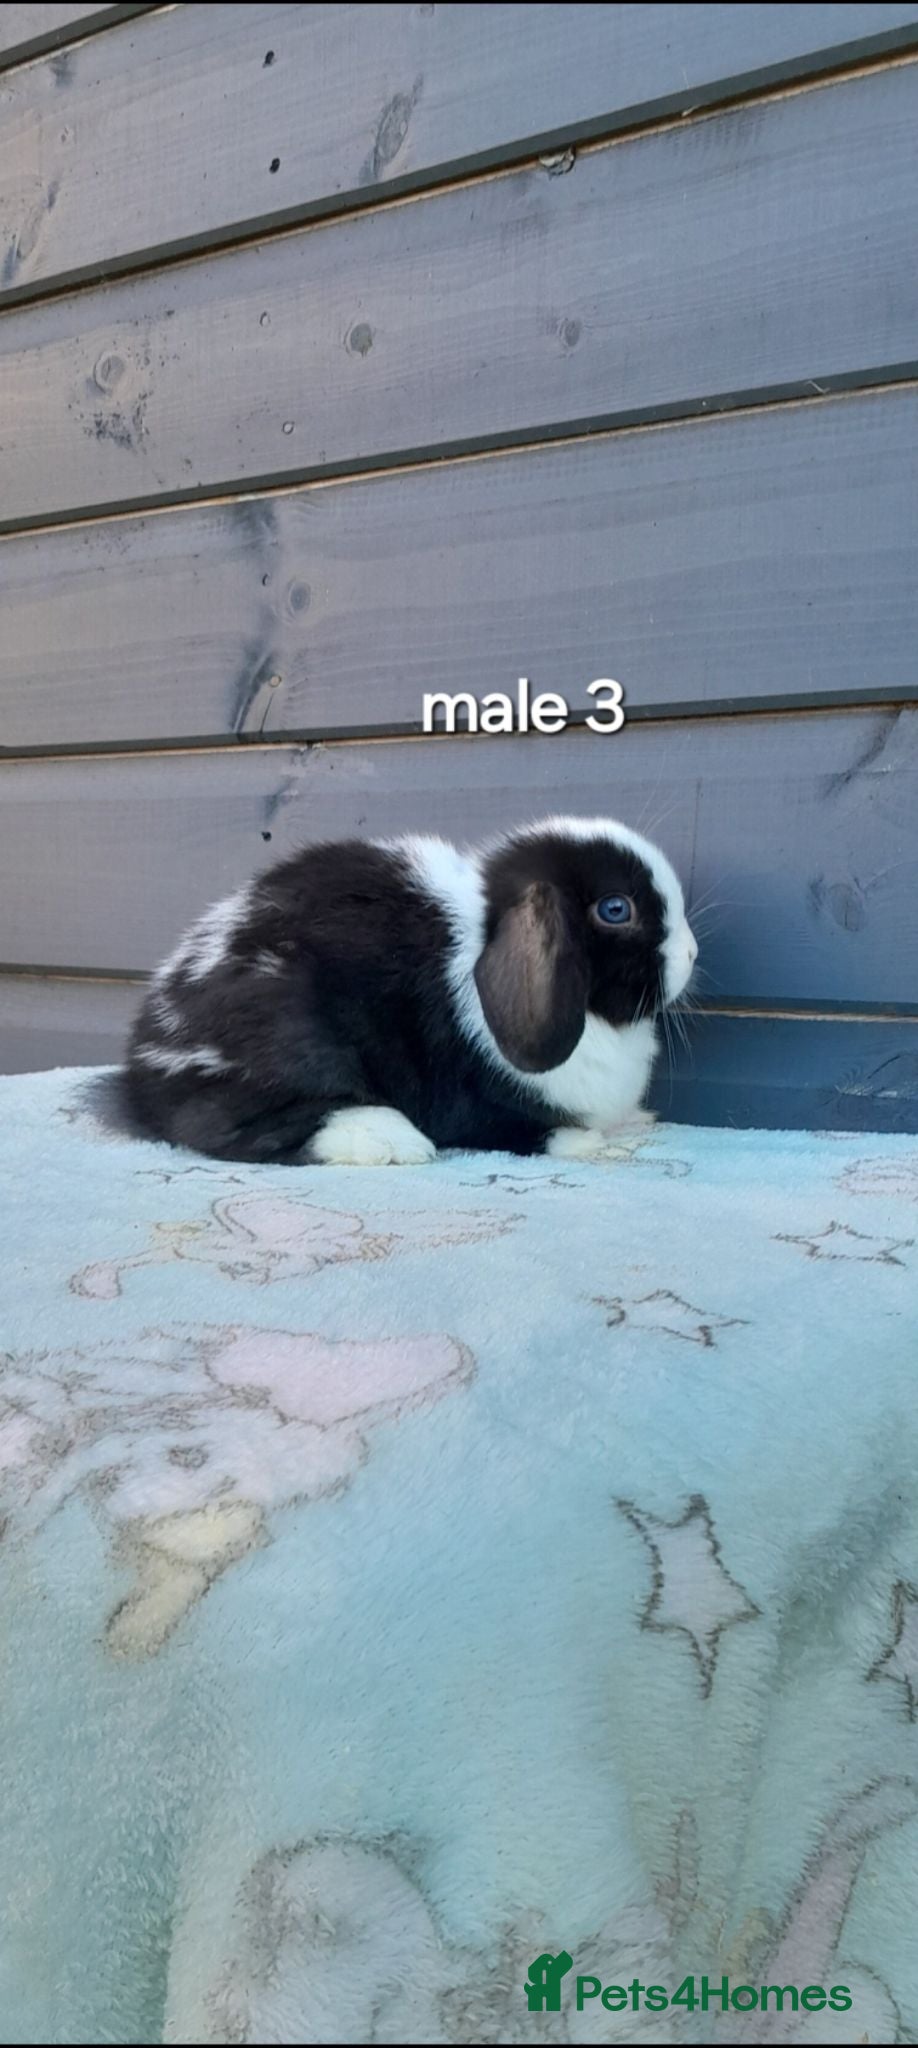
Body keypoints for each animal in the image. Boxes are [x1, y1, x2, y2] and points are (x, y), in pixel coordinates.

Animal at [123, 815, 697, 1165]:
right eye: (616, 909)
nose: (691, 954)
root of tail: (143, 1063)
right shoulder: (479, 1106)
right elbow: (533, 1131)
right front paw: (593, 1143)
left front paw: (637, 1121)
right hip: (287, 1032)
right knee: (229, 1127)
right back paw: (388, 1138)